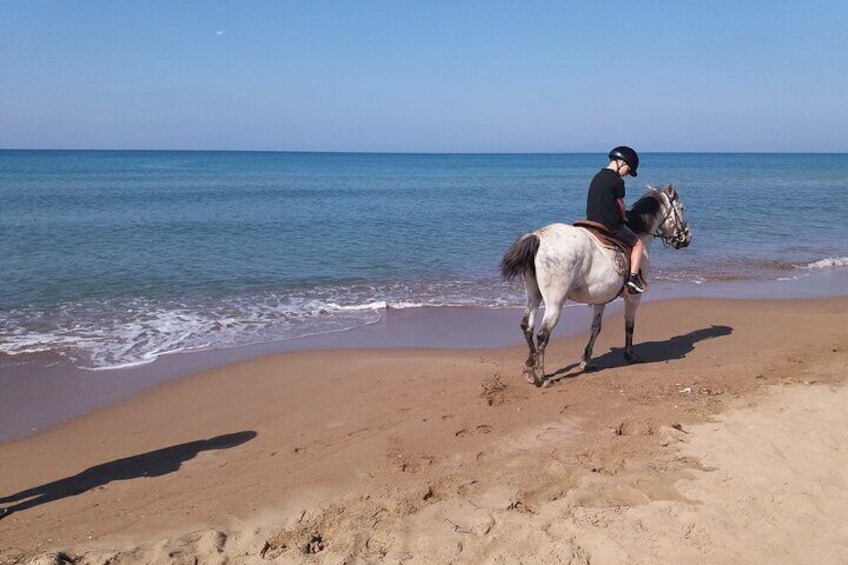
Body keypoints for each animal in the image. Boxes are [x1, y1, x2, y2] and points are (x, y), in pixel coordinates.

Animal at [504, 185, 688, 388]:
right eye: (681, 208)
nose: (686, 238)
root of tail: (539, 237)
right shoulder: (634, 297)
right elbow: (629, 325)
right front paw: (630, 354)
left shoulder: (601, 298)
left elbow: (596, 328)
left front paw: (586, 360)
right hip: (555, 302)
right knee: (542, 334)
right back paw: (540, 377)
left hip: (533, 295)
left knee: (527, 326)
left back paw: (530, 367)